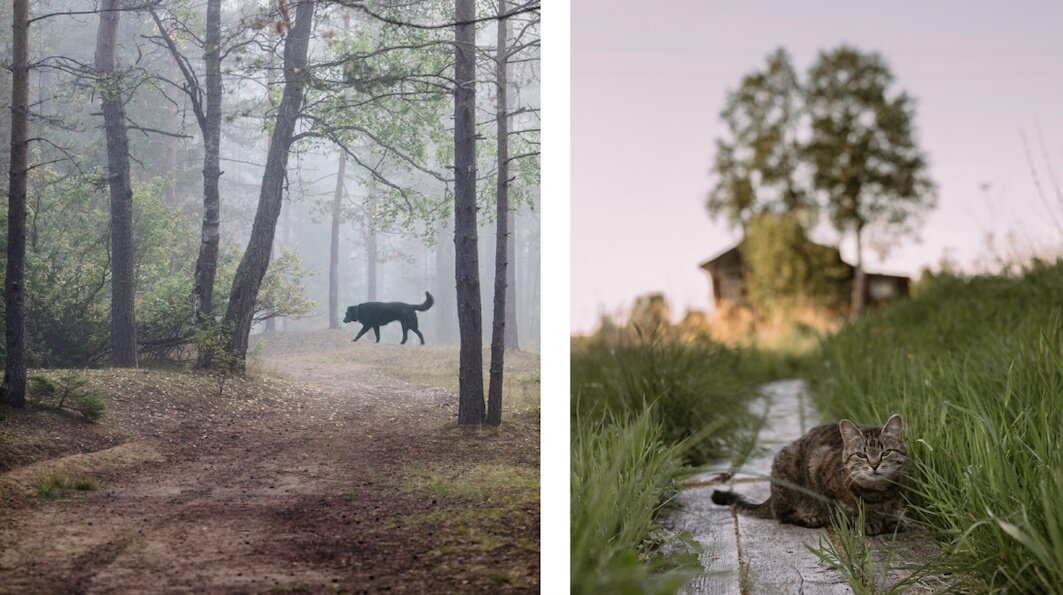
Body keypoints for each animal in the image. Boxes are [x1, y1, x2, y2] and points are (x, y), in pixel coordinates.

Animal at [710, 414, 909, 535]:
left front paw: (892, 519)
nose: (874, 465)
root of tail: (772, 496)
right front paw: (867, 520)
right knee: (781, 515)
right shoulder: (818, 467)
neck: (878, 492)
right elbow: (844, 509)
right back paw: (809, 518)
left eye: (886, 452)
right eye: (861, 454)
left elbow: (892, 509)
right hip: (788, 473)